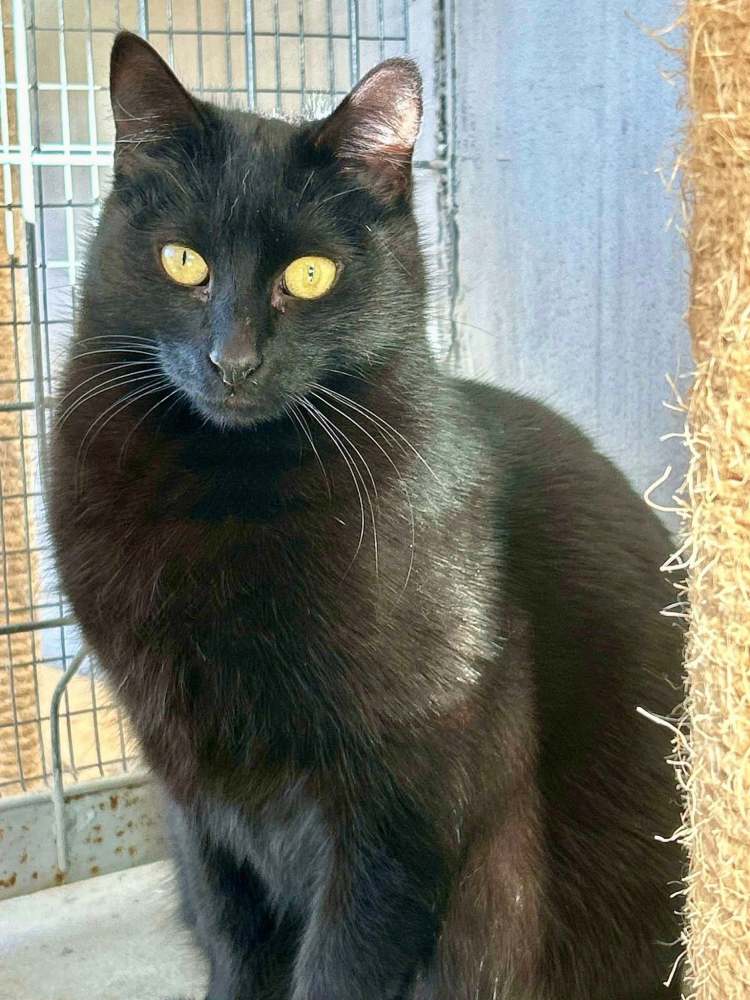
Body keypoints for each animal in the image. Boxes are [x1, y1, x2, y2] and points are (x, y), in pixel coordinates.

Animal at [48, 30, 684, 1000]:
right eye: (183, 262)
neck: (225, 497)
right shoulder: (194, 794)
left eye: (309, 275)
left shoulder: (404, 799)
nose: (231, 360)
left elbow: (341, 964)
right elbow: (236, 944)